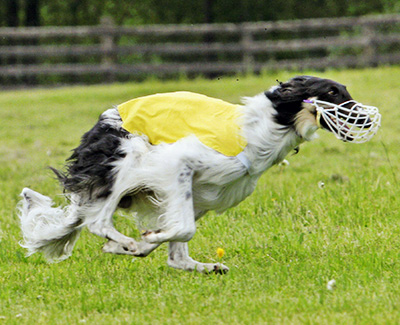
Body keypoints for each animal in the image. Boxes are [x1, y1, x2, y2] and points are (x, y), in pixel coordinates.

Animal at [18, 75, 374, 270]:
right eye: (332, 93)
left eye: (344, 90)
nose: (369, 119)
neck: (270, 125)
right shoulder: (178, 165)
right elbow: (183, 229)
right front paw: (142, 241)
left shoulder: (205, 194)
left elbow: (176, 239)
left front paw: (146, 243)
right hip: (127, 159)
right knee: (98, 221)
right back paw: (126, 242)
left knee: (171, 252)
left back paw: (200, 265)